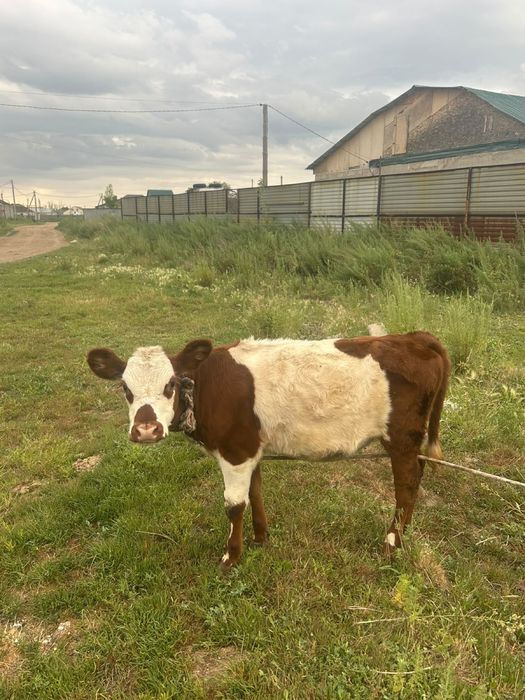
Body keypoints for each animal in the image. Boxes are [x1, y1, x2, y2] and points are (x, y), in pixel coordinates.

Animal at [87, 331, 450, 569]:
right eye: (125, 388)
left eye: (170, 384)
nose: (146, 430)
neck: (206, 387)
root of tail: (414, 336)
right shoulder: (250, 447)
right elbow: (256, 492)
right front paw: (261, 537)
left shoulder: (235, 451)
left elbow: (234, 505)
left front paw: (231, 557)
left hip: (401, 439)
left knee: (406, 486)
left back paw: (391, 544)